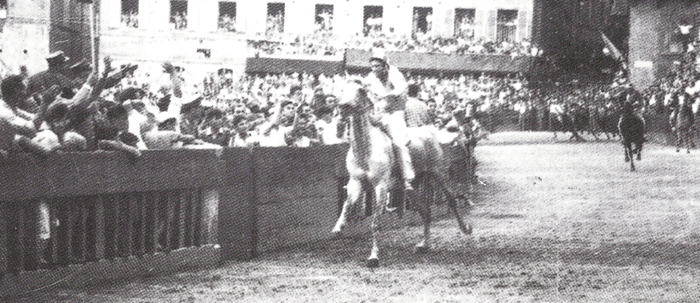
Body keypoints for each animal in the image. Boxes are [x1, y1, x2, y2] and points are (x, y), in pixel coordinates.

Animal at [330, 81, 474, 268]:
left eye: (360, 90)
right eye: (342, 89)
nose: (343, 107)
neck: (366, 150)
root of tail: (431, 132)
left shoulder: (381, 186)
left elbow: (375, 223)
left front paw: (373, 257)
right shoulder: (356, 183)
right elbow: (346, 206)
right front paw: (337, 230)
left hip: (438, 173)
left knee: (451, 200)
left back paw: (465, 229)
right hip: (412, 187)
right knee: (426, 210)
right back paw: (423, 245)